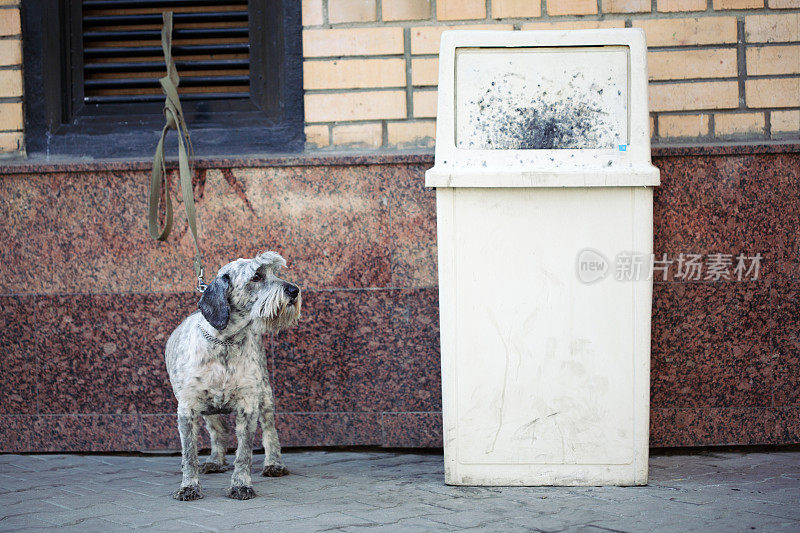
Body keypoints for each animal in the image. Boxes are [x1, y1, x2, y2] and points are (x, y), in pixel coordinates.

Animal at [165, 250, 300, 498]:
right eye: (256, 276)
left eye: (274, 272)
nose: (294, 290)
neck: (224, 341)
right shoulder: (187, 409)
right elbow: (189, 454)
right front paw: (189, 486)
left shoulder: (249, 405)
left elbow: (244, 453)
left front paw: (241, 485)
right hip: (208, 409)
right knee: (218, 431)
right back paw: (215, 461)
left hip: (265, 395)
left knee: (270, 430)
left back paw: (274, 464)